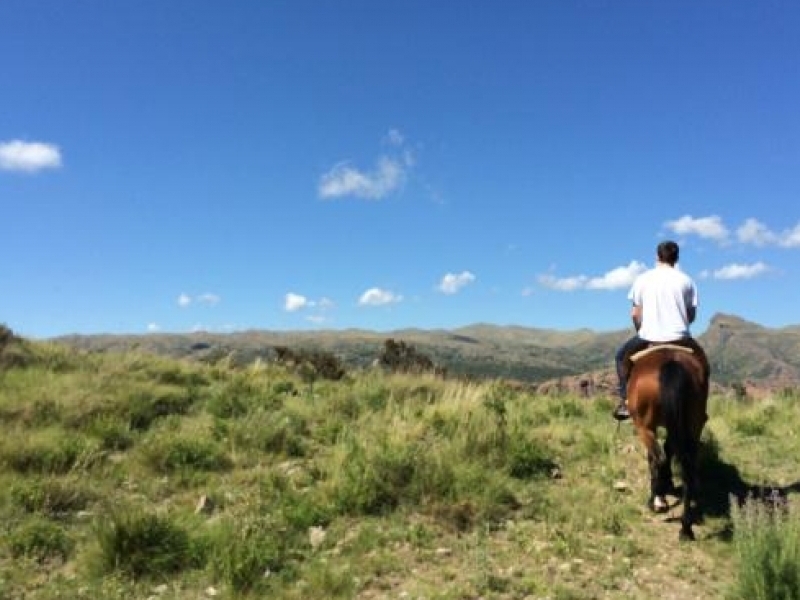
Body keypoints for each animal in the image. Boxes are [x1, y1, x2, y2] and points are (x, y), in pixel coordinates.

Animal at [628, 342, 708, 544]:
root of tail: (671, 363)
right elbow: (670, 450)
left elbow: (655, 458)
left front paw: (661, 493)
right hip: (693, 423)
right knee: (688, 469)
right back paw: (686, 528)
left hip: (644, 426)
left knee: (658, 459)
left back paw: (657, 500)